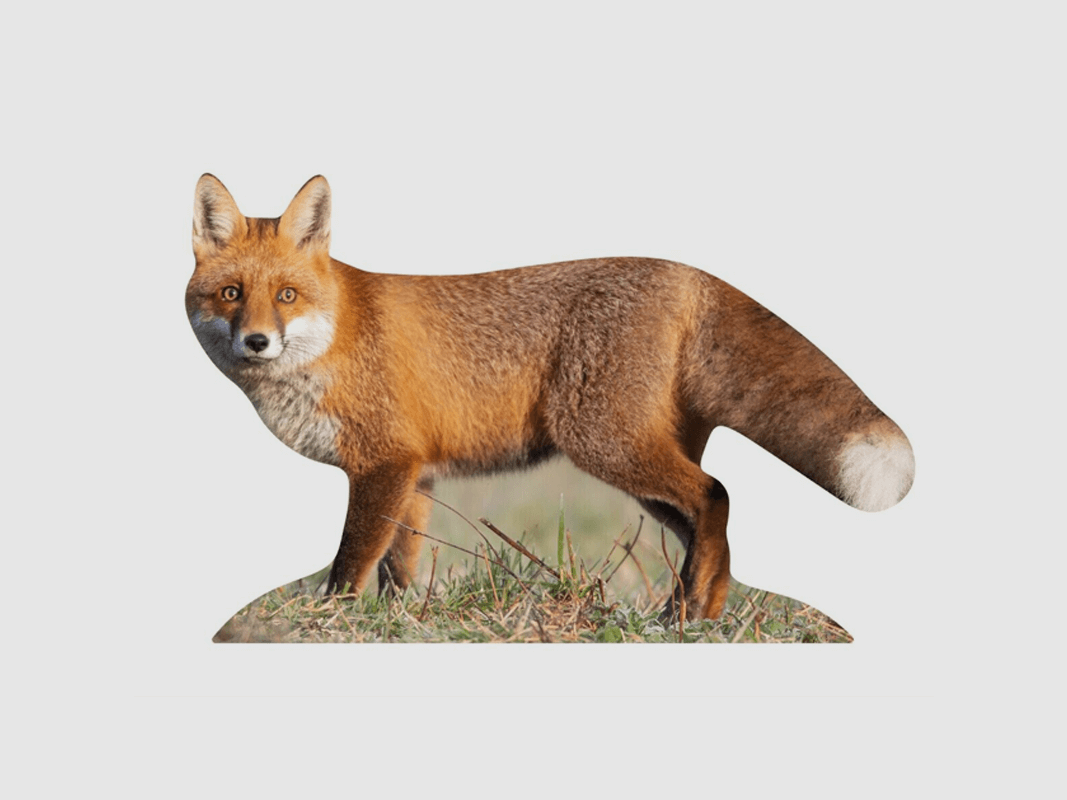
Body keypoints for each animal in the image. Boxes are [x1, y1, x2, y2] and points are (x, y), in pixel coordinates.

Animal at [186, 174, 914, 621]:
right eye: (231, 294)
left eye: (286, 295)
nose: (256, 341)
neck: (335, 332)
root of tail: (687, 272)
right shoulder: (415, 473)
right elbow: (399, 567)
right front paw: (397, 624)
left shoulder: (384, 464)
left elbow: (350, 561)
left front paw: (327, 620)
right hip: (637, 468)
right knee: (715, 520)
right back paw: (699, 615)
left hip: (603, 442)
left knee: (717, 495)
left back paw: (686, 617)